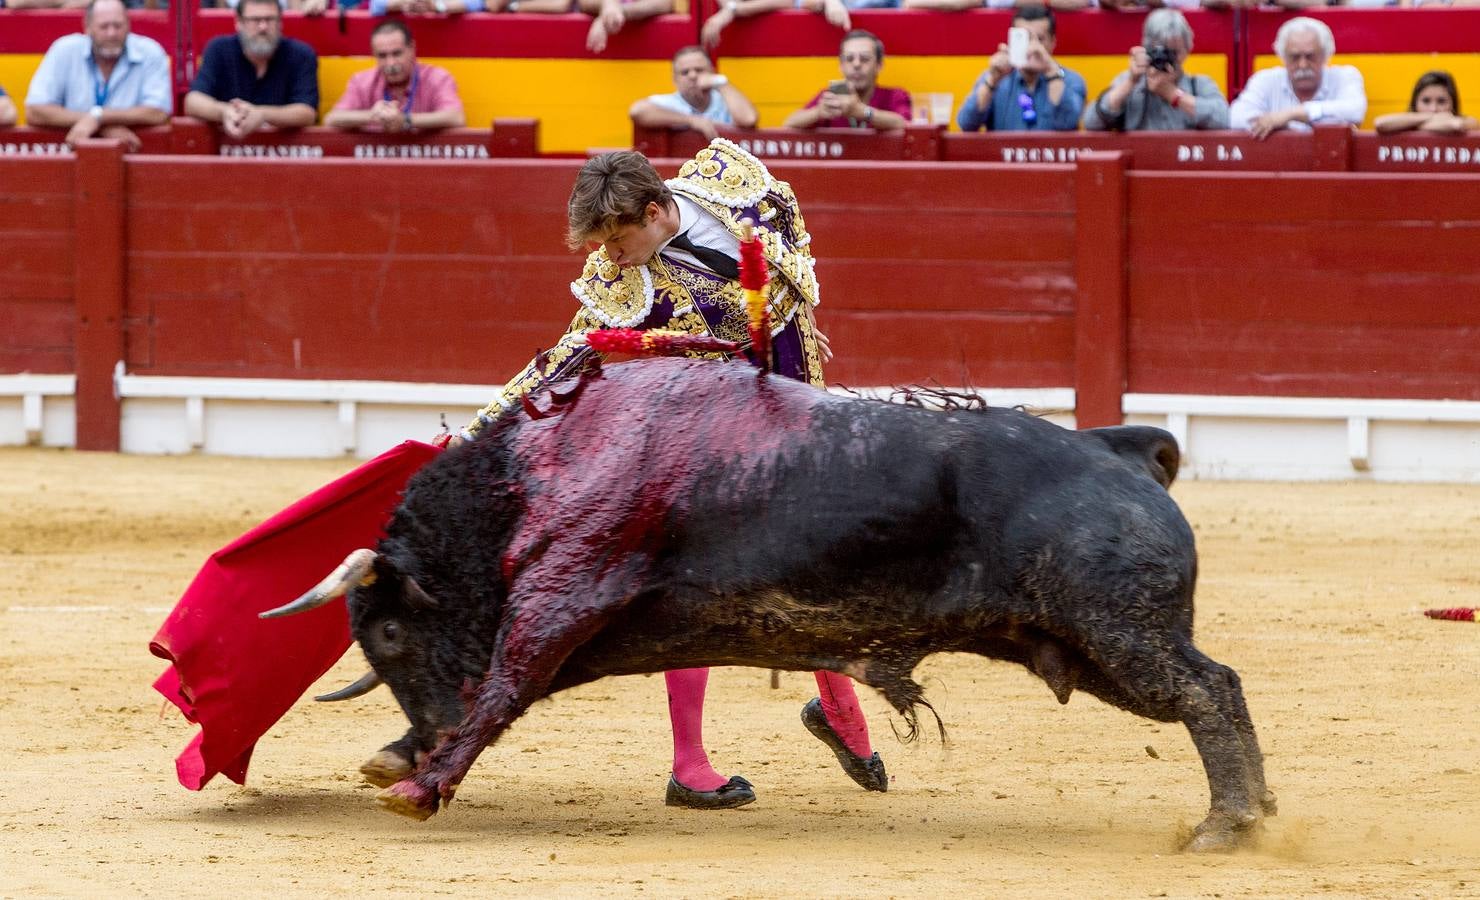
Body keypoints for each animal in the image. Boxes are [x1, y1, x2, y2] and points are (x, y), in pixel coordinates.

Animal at [263, 356, 1272, 852]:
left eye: (394, 628)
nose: (425, 736)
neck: (529, 476)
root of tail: (1115, 449)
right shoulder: (590, 629)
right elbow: (506, 686)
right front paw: (401, 759)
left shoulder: (564, 593)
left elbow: (505, 682)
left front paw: (422, 784)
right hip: (1079, 645)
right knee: (1209, 691)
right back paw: (1249, 811)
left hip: (1118, 630)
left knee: (1208, 690)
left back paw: (1228, 825)